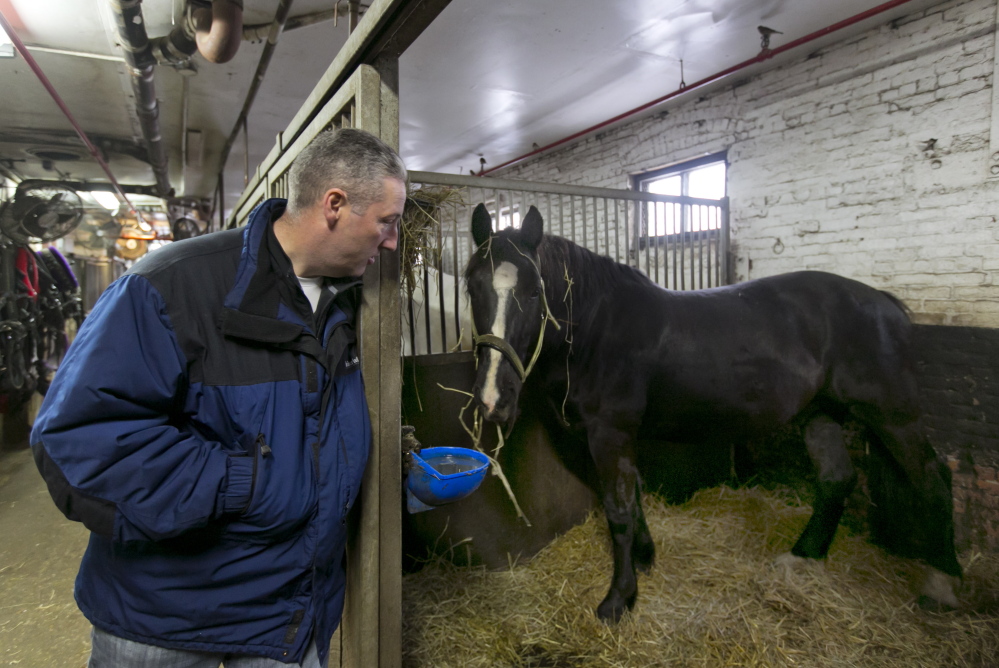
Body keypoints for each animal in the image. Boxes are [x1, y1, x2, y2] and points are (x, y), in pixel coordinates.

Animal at [464, 202, 964, 620]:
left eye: (534, 292)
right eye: (472, 286)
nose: (493, 399)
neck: (598, 330)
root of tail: (886, 304)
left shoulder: (610, 433)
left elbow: (619, 510)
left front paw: (619, 598)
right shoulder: (617, 439)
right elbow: (634, 497)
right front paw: (645, 559)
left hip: (893, 416)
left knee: (932, 479)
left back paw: (942, 583)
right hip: (820, 413)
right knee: (836, 479)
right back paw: (804, 557)